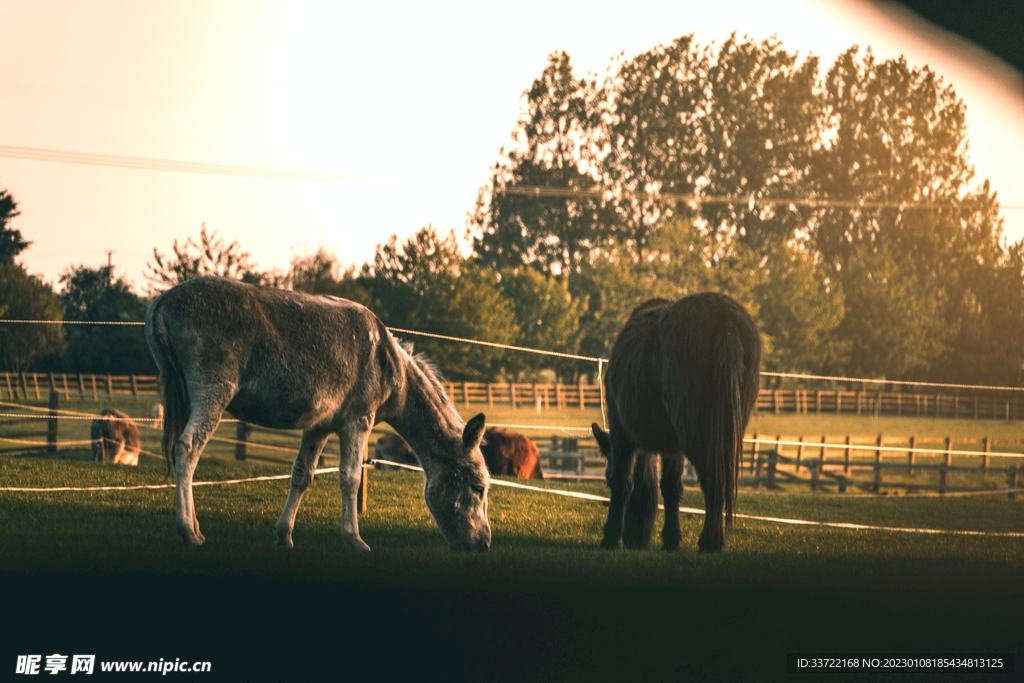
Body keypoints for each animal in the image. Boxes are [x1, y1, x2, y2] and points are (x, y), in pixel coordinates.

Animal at [145, 276, 491, 552]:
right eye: (478, 488)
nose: (484, 543)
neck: (392, 368)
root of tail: (164, 300)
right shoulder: (359, 420)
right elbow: (350, 477)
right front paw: (354, 539)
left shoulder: (319, 427)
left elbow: (302, 475)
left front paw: (284, 535)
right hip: (212, 392)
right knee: (187, 449)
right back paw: (189, 531)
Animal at [594, 293, 761, 553]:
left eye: (606, 479)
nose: (635, 540)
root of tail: (725, 318)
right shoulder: (673, 448)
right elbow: (671, 488)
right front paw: (671, 539)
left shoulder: (622, 431)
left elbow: (623, 481)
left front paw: (610, 537)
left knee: (713, 480)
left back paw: (710, 542)